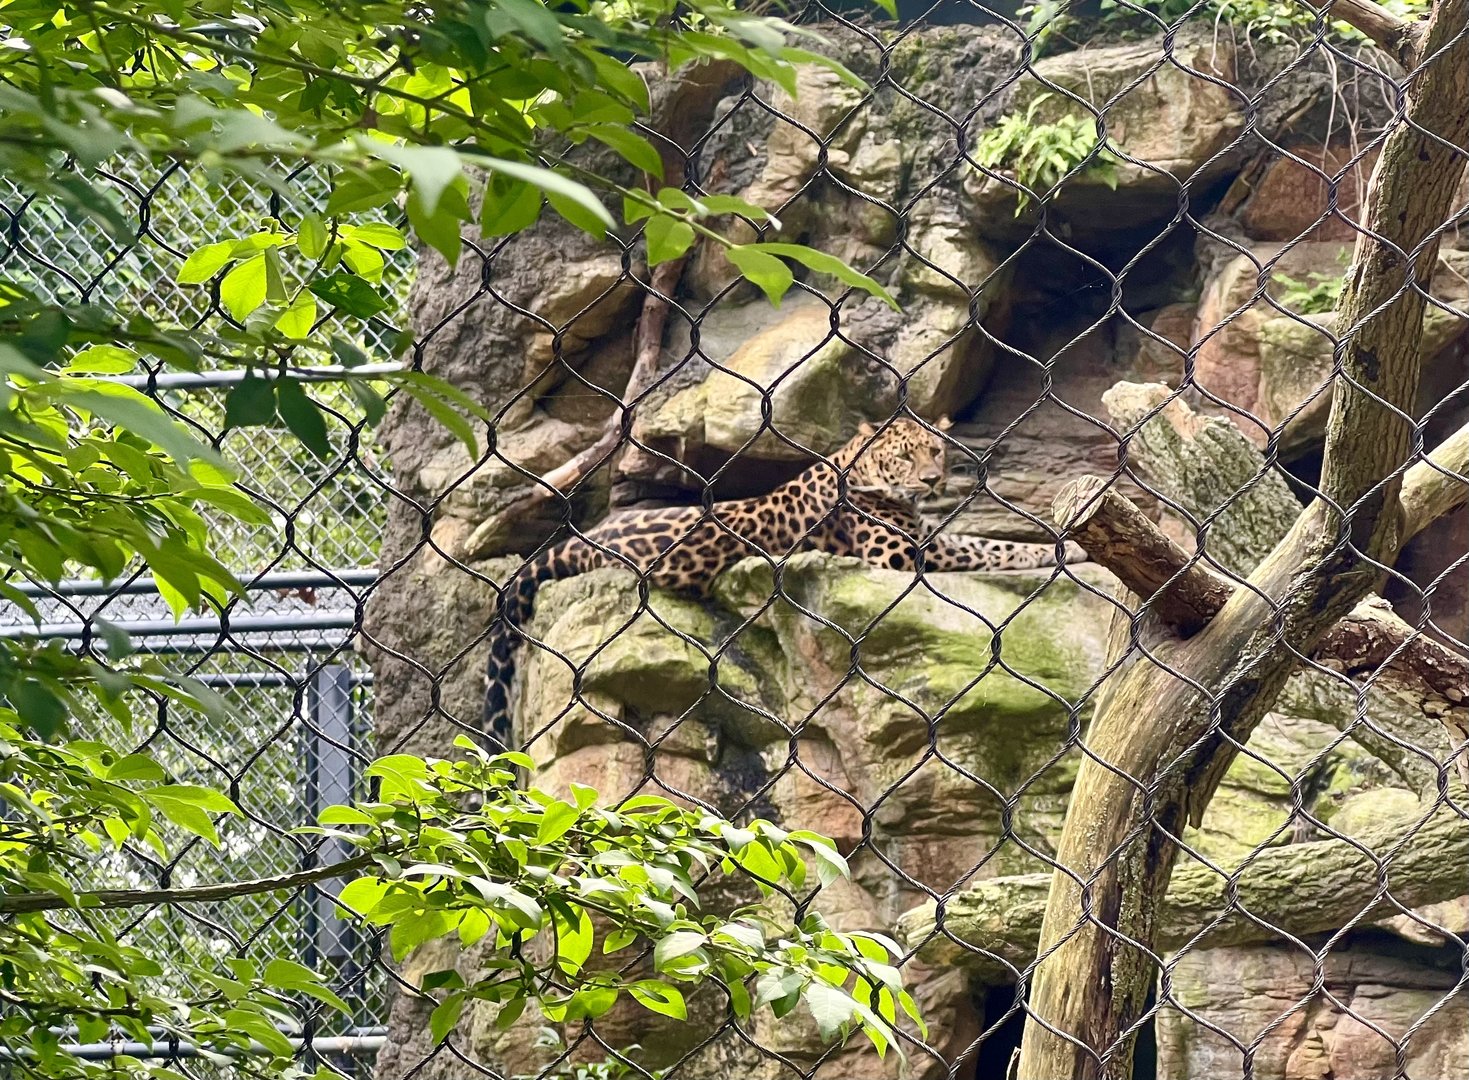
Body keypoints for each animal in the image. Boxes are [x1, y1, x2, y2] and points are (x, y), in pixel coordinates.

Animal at [482, 417, 1086, 746]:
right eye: (905, 455)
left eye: (935, 449)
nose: (934, 479)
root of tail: (579, 538)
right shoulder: (896, 557)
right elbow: (987, 547)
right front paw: (1064, 548)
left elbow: (983, 541)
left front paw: (1065, 542)